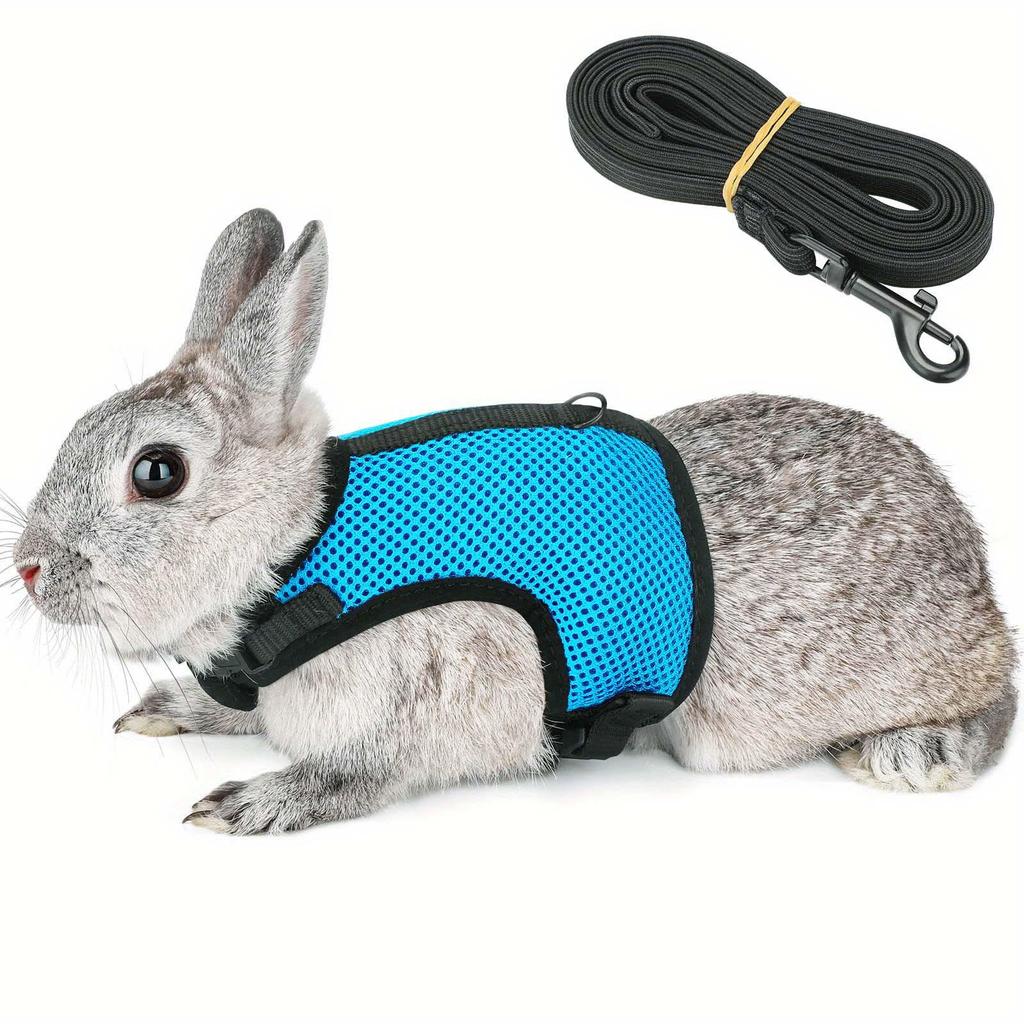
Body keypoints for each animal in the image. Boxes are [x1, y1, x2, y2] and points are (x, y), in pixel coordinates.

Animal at [8, 209, 1016, 835]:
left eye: (158, 473)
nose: (27, 568)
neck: (297, 552)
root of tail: (975, 563)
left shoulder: (429, 708)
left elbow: (361, 772)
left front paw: (253, 803)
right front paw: (168, 710)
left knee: (995, 697)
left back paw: (915, 753)